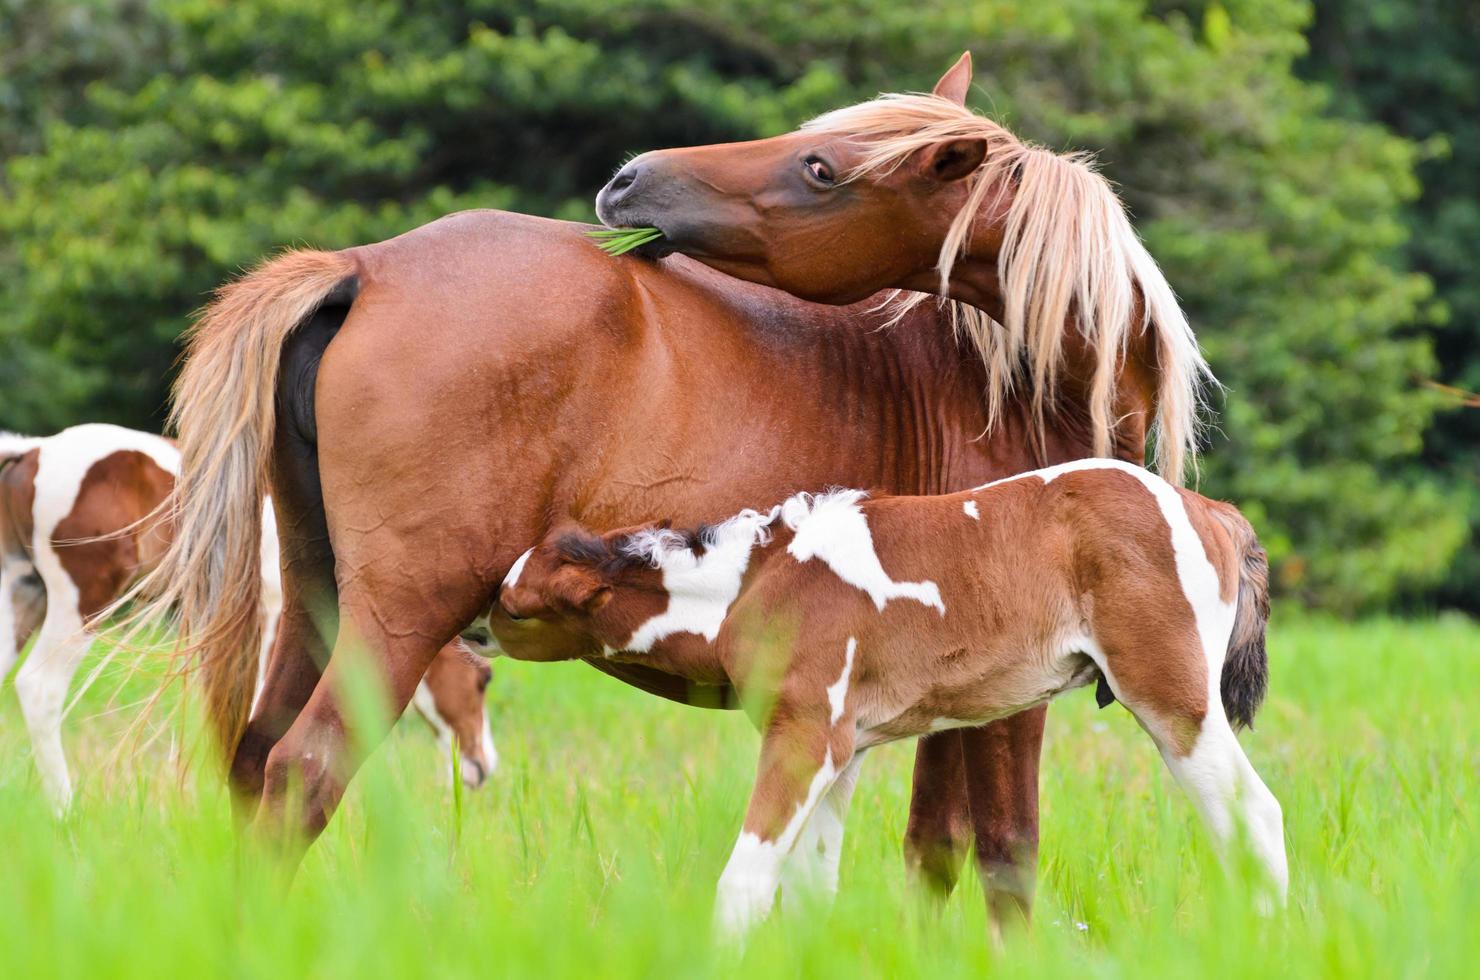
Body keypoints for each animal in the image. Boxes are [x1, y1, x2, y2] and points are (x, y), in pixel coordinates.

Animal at [0, 426, 497, 811]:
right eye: (483, 681)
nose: (483, 768)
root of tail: (33, 452)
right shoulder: (272, 619)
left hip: (24, 597)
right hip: (80, 605)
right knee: (39, 689)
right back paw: (66, 811)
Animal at [497, 461, 1284, 935]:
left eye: (514, 608)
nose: (475, 625)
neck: (755, 585)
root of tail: (1209, 510)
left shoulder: (805, 736)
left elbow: (744, 883)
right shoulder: (840, 752)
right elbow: (811, 890)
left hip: (1171, 697)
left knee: (1252, 812)